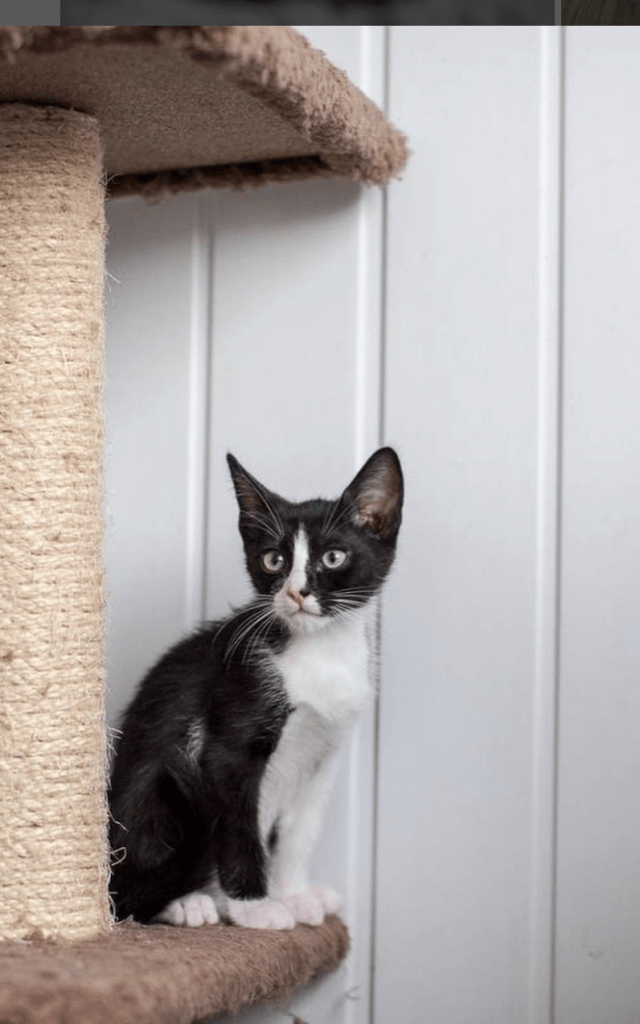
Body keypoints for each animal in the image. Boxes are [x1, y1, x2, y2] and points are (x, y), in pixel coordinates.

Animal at [107, 448, 401, 929]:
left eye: (334, 557)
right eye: (273, 560)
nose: (297, 593)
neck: (320, 652)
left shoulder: (326, 751)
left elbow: (299, 830)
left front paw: (295, 895)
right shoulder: (229, 739)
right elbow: (240, 826)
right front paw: (253, 907)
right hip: (157, 791)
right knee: (128, 893)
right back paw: (190, 903)